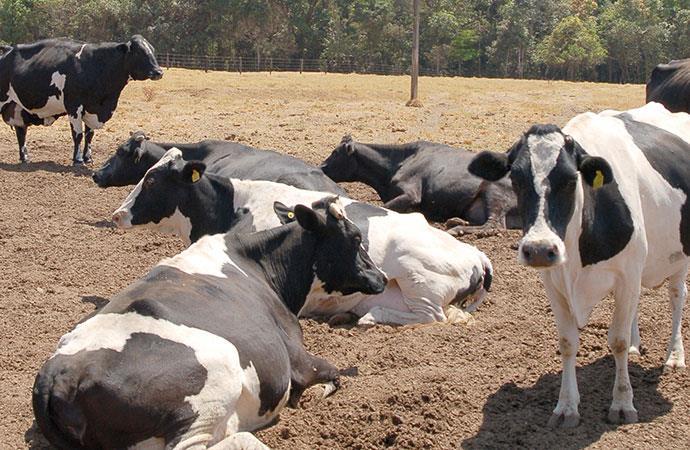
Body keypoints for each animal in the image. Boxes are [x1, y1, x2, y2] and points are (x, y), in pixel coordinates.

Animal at [0, 35, 162, 164]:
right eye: (139, 52)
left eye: (152, 50)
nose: (159, 71)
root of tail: (7, 49)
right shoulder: (74, 106)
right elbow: (77, 135)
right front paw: (77, 159)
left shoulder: (92, 108)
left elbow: (89, 135)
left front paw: (88, 158)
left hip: (17, 107)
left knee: (21, 133)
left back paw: (25, 158)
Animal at [33, 199, 388, 448]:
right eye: (356, 238)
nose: (383, 277)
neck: (258, 262)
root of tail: (59, 374)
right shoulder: (298, 357)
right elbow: (333, 373)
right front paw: (314, 394)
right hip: (214, 382)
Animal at [110, 149, 492, 326]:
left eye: (152, 180)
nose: (117, 214)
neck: (233, 206)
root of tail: (477, 254)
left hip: (418, 277)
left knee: (432, 316)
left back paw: (370, 317)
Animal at [468, 103, 688, 428]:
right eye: (516, 180)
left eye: (572, 180)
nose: (539, 249)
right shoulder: (554, 281)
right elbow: (568, 341)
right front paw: (566, 406)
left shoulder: (627, 274)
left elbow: (617, 339)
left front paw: (622, 403)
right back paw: (637, 347)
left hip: (680, 257)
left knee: (676, 297)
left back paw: (674, 356)